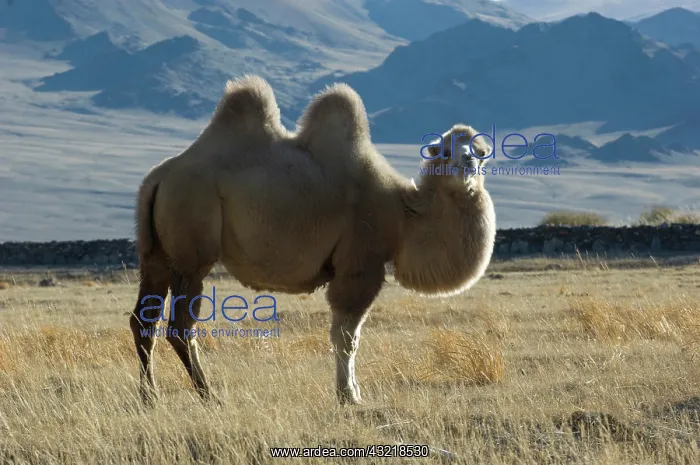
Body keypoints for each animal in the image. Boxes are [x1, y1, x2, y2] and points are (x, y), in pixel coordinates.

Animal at [130, 75, 496, 406]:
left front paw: (349, 391)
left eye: (480, 151)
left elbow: (346, 336)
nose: (468, 163)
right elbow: (346, 337)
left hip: (155, 255)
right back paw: (210, 395)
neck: (403, 213)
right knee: (180, 326)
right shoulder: (360, 266)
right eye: (446, 151)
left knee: (143, 320)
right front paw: (349, 396)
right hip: (192, 249)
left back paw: (151, 397)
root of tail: (158, 178)